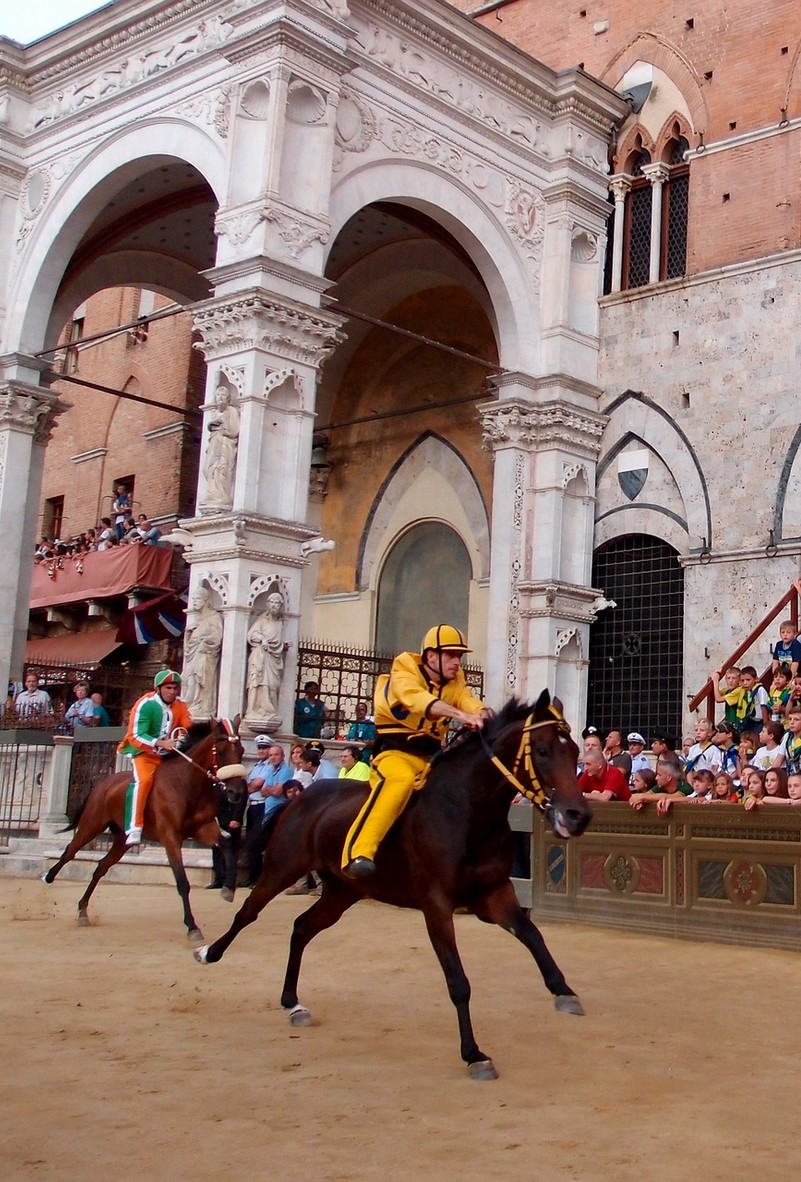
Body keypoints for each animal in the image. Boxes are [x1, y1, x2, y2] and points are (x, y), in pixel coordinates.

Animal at [41, 713, 244, 936]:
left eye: (241, 750)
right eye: (222, 750)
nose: (236, 792)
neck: (186, 784)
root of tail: (103, 783)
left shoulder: (204, 829)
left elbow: (227, 848)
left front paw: (228, 889)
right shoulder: (170, 837)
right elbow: (182, 882)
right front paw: (192, 926)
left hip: (122, 840)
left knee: (101, 867)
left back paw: (83, 911)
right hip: (92, 825)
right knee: (70, 851)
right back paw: (48, 877)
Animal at [197, 690, 593, 1082]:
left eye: (575, 750)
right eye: (542, 750)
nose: (579, 816)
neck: (466, 811)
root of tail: (302, 797)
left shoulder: (495, 896)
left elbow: (533, 936)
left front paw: (564, 991)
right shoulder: (437, 905)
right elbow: (458, 981)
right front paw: (474, 1055)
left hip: (343, 891)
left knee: (302, 927)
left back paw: (293, 1003)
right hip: (281, 868)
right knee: (248, 913)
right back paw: (208, 952)